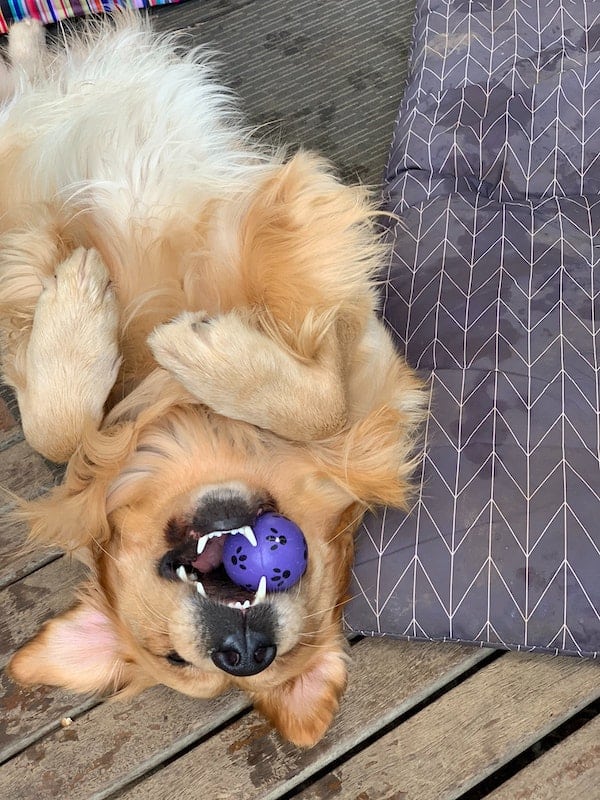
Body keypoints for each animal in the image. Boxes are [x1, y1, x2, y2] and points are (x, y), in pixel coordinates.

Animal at [0, 15, 422, 748]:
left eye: (281, 658)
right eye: (171, 658)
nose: (245, 654)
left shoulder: (360, 334)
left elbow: (326, 403)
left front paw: (199, 350)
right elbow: (56, 433)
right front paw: (81, 303)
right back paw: (26, 37)